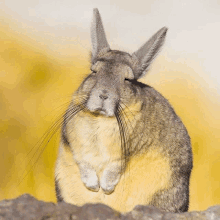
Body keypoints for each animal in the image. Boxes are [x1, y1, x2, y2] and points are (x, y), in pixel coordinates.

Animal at [55, 8, 192, 213]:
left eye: (128, 79)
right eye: (93, 71)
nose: (103, 95)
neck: (101, 119)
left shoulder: (126, 150)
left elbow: (115, 167)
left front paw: (105, 187)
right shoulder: (73, 140)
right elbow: (83, 161)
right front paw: (93, 186)